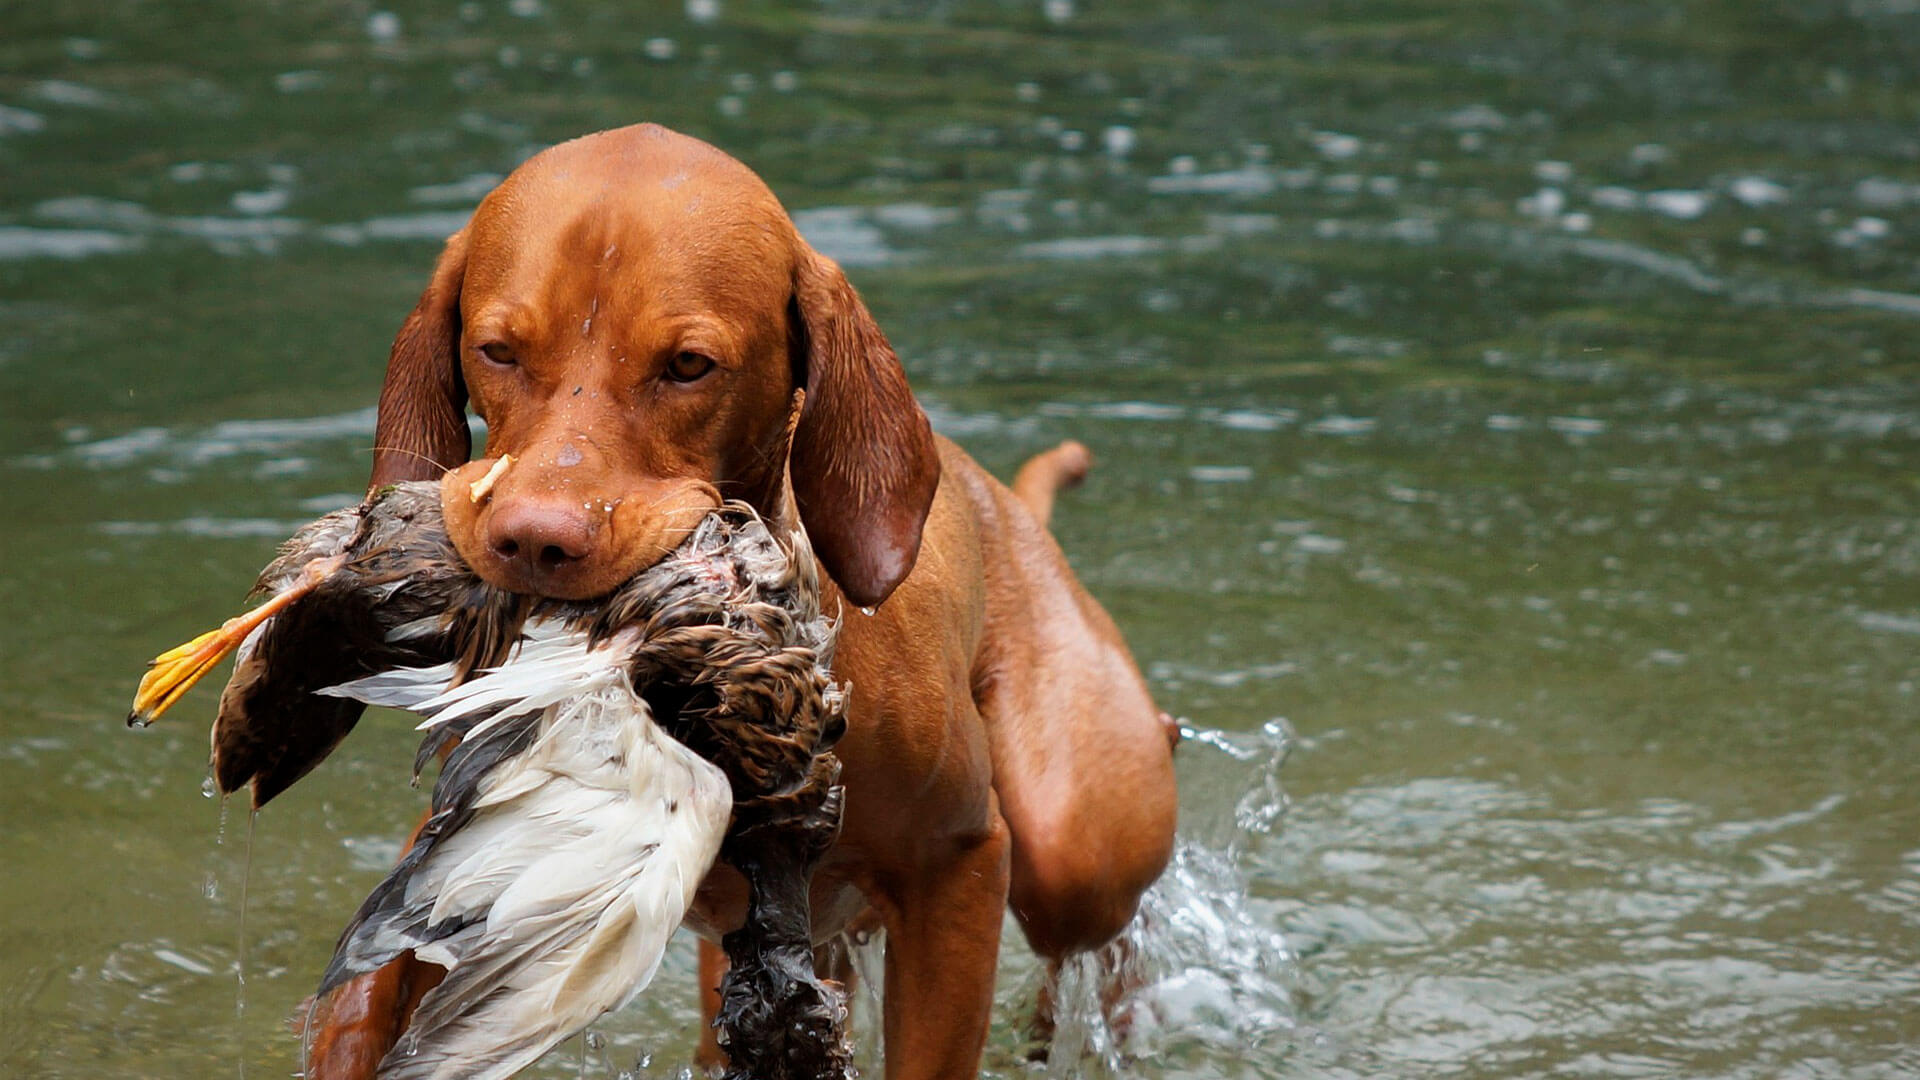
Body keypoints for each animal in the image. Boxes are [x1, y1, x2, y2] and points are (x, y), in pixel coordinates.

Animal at [309, 119, 1175, 1076]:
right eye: (497, 351)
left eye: (689, 366)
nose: (534, 541)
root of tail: (1013, 509)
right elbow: (364, 992)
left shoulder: (959, 865)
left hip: (1073, 847)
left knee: (1097, 923)